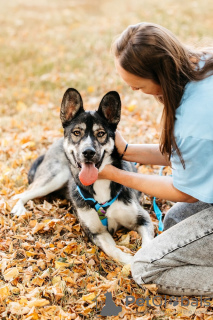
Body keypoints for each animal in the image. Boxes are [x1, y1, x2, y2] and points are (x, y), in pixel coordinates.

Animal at [11, 88, 153, 264]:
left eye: (101, 133)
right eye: (77, 132)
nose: (88, 152)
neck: (100, 184)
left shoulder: (143, 219)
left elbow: (149, 245)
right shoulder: (96, 232)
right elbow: (112, 249)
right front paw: (131, 262)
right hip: (54, 177)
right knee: (22, 193)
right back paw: (18, 207)